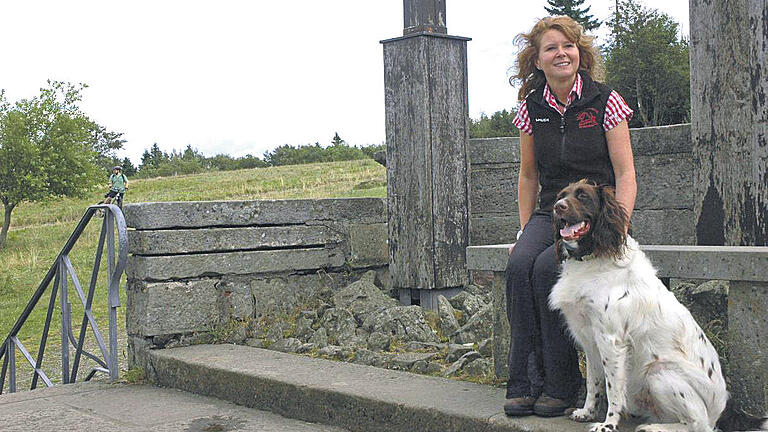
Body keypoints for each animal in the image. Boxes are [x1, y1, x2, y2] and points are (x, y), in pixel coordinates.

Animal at [548, 180, 764, 432]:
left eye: (583, 196)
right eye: (562, 195)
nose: (558, 207)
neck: (594, 256)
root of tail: (724, 409)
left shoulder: (611, 340)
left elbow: (613, 391)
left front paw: (608, 424)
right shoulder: (590, 338)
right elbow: (594, 383)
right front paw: (587, 412)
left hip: (658, 373)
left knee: (698, 424)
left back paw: (653, 427)